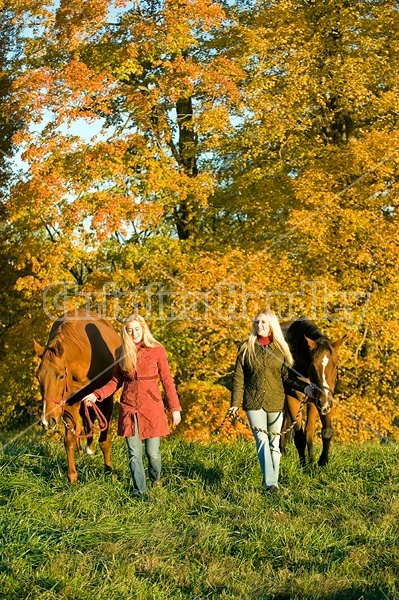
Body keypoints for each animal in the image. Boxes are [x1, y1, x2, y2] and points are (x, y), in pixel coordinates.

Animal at [33, 310, 121, 482]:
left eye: (61, 376)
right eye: (37, 377)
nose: (47, 420)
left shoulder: (106, 400)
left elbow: (105, 440)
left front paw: (108, 471)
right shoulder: (67, 405)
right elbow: (69, 440)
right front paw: (72, 476)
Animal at [282, 316, 346, 466]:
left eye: (336, 366)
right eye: (313, 366)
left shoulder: (323, 401)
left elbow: (324, 431)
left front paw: (321, 462)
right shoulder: (293, 399)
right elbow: (299, 437)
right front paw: (304, 466)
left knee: (307, 432)